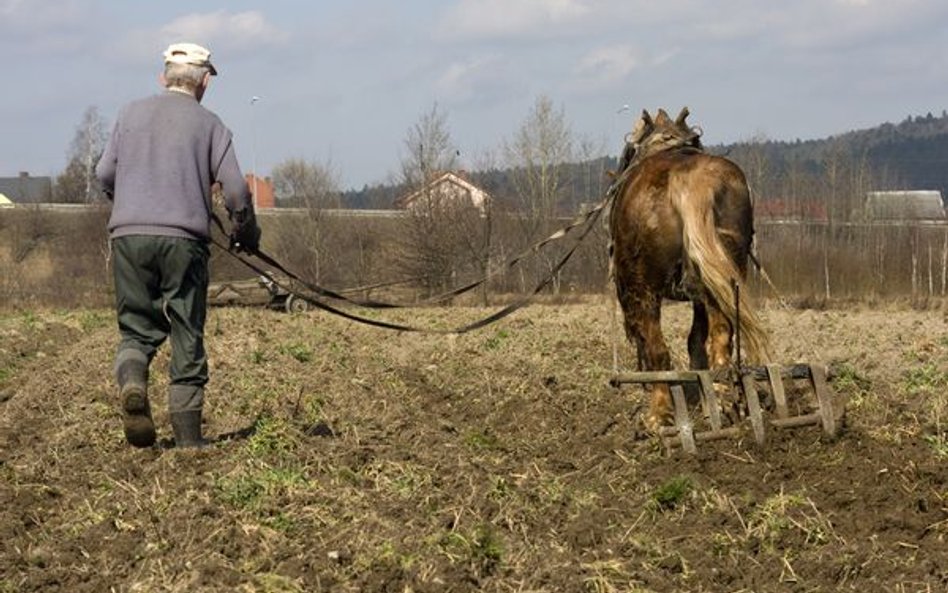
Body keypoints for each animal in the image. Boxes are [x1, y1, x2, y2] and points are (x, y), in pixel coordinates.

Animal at [608, 107, 772, 430]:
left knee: (658, 350)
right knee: (721, 338)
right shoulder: (700, 291)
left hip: (644, 286)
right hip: (725, 275)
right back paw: (723, 401)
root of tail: (693, 183)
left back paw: (660, 414)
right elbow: (696, 342)